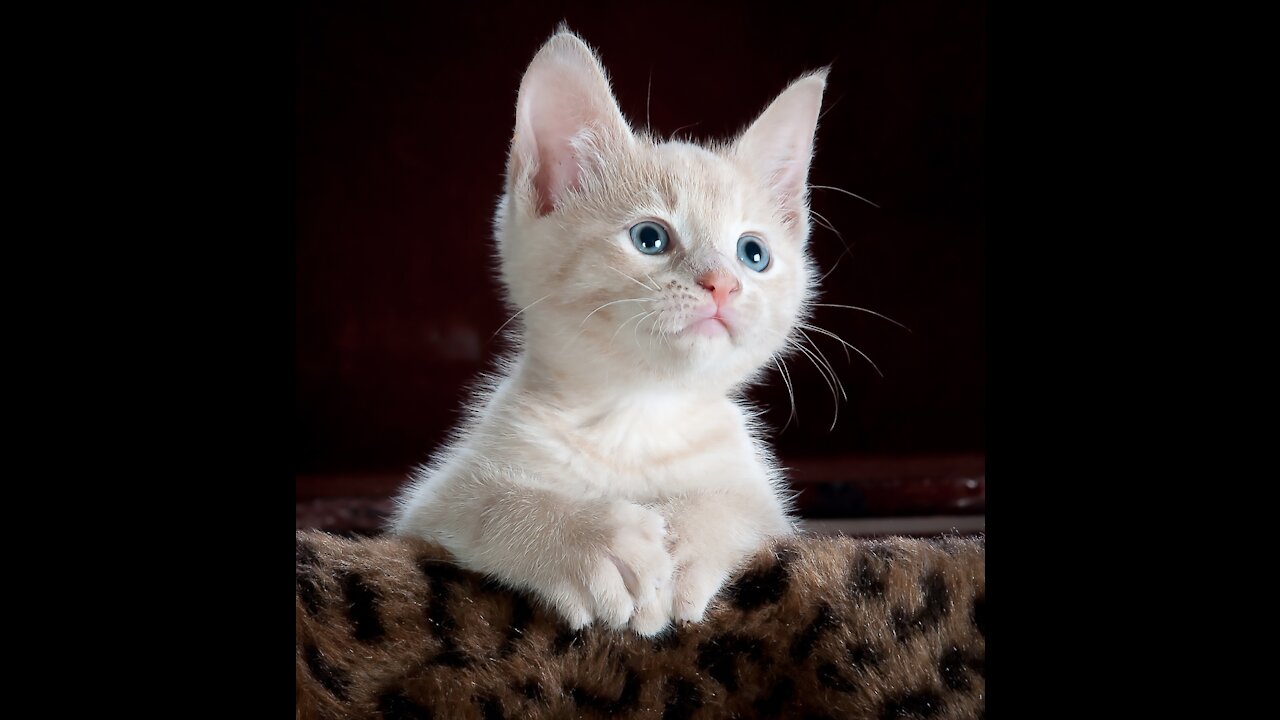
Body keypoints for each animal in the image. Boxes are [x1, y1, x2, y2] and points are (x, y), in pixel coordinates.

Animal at [391, 29, 829, 632]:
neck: (637, 415)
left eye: (753, 253)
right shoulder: (428, 508)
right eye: (650, 238)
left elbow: (737, 505)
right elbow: (489, 503)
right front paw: (588, 540)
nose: (722, 284)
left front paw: (687, 539)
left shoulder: (767, 507)